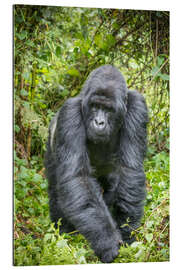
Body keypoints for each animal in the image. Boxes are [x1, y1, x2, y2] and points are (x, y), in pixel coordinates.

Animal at [44, 64, 148, 262]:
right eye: (94, 106)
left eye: (108, 109)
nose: (99, 122)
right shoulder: (69, 114)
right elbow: (78, 178)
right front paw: (107, 243)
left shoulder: (138, 107)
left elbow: (129, 170)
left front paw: (127, 233)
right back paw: (65, 233)